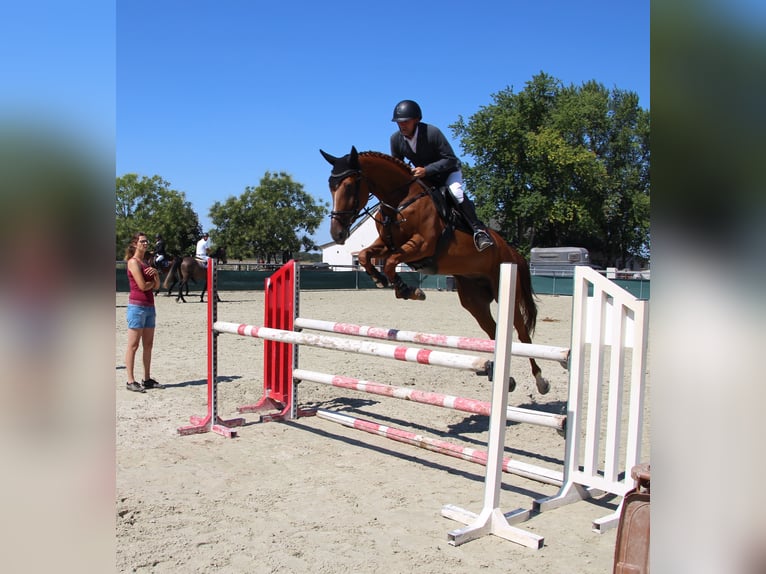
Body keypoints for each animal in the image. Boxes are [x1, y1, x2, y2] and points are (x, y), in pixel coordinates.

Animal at [320, 146, 548, 394]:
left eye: (350, 185)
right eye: (331, 186)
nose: (337, 234)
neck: (399, 201)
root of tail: (511, 251)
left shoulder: (422, 245)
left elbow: (390, 262)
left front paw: (409, 290)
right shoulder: (385, 243)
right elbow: (365, 255)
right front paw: (382, 280)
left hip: (504, 291)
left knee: (522, 333)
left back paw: (540, 380)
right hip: (474, 301)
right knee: (492, 331)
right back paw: (501, 376)